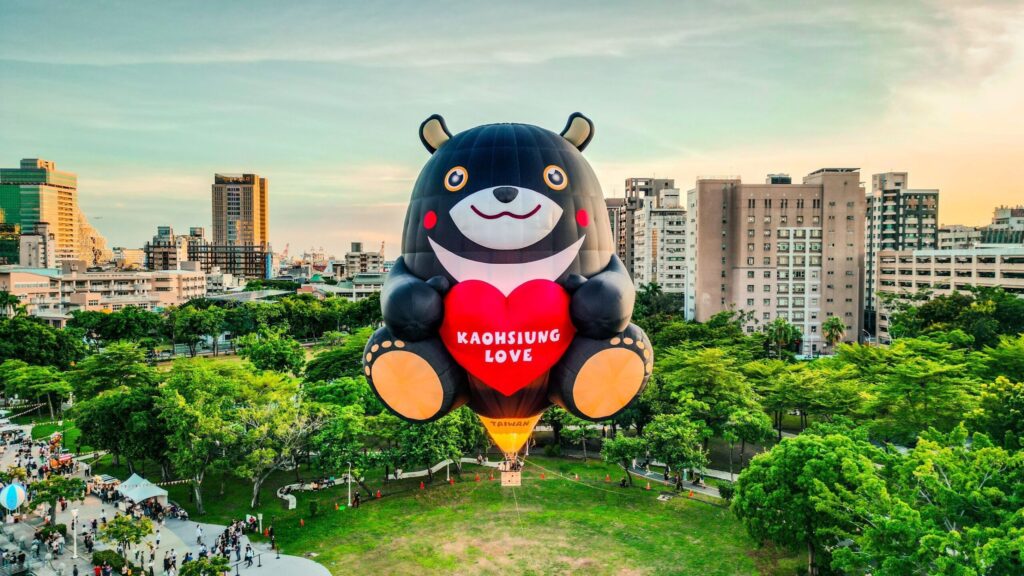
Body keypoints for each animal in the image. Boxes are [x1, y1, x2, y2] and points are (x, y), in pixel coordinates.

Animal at [362, 113, 652, 432]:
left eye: (555, 177)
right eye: (455, 178)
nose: (505, 191)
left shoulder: (610, 261)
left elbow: (614, 284)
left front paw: (593, 303)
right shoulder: (404, 264)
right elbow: (399, 285)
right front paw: (418, 307)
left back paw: (616, 353)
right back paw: (395, 357)